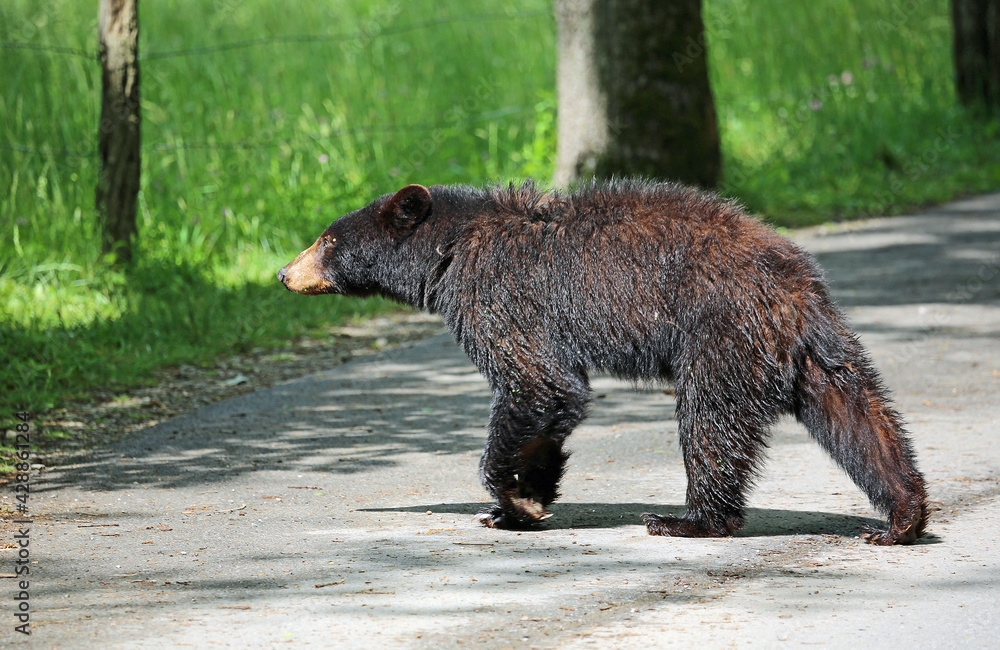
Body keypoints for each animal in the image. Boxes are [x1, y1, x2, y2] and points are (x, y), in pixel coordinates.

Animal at [277, 179, 928, 545]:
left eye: (327, 239)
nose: (283, 272)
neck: (449, 250)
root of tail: (792, 287)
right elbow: (552, 407)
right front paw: (522, 502)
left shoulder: (500, 296)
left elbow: (537, 382)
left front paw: (510, 497)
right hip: (820, 353)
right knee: (863, 418)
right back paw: (901, 518)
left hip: (719, 337)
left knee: (709, 423)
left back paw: (690, 519)